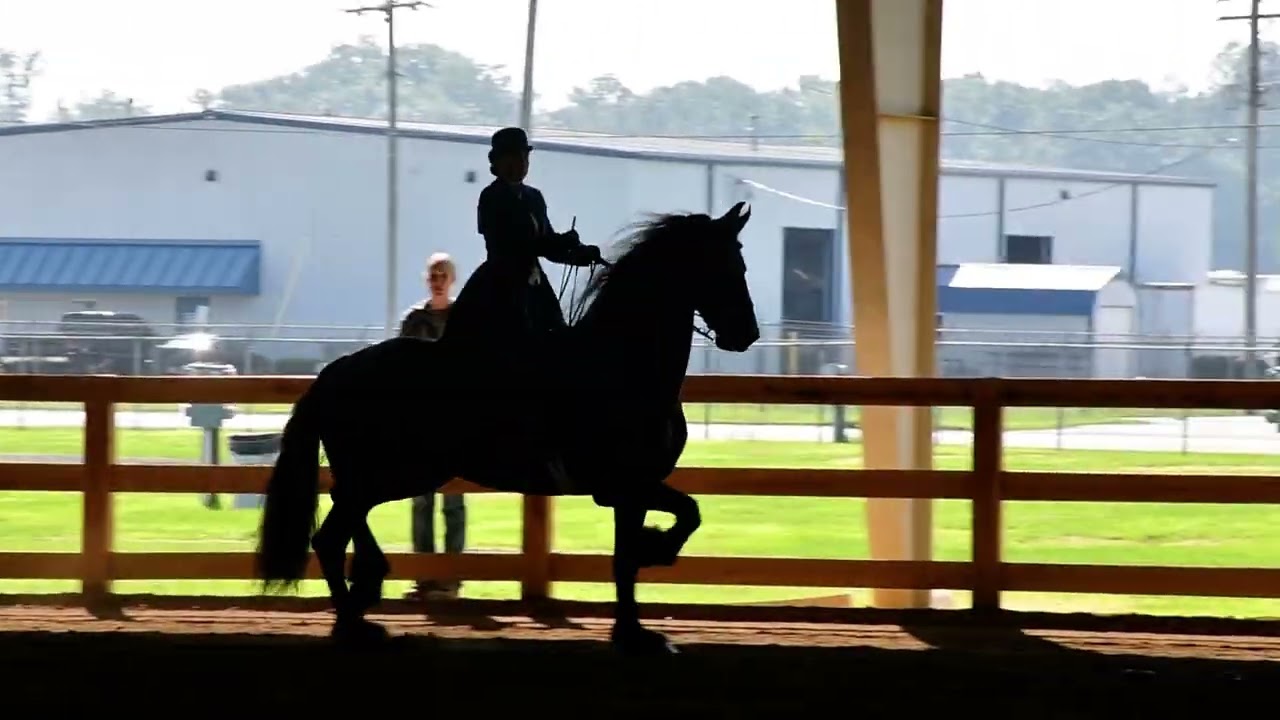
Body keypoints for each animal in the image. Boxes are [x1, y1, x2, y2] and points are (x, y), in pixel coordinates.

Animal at [254, 201, 760, 654]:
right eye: (724, 265)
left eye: (740, 261)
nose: (747, 334)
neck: (622, 362)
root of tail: (334, 371)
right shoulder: (628, 486)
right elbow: (662, 533)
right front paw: (649, 580)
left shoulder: (632, 489)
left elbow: (646, 544)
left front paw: (635, 621)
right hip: (391, 475)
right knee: (330, 535)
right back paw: (353, 622)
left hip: (385, 476)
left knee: (343, 521)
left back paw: (365, 598)